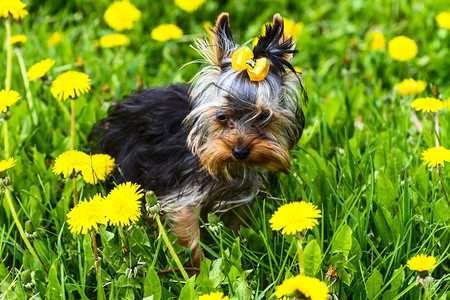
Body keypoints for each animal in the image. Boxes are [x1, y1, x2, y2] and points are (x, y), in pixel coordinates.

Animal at [96, 12, 308, 264]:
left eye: (264, 116)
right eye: (221, 116)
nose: (240, 152)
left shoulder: (241, 197)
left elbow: (238, 227)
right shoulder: (184, 197)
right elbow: (189, 237)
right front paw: (196, 269)